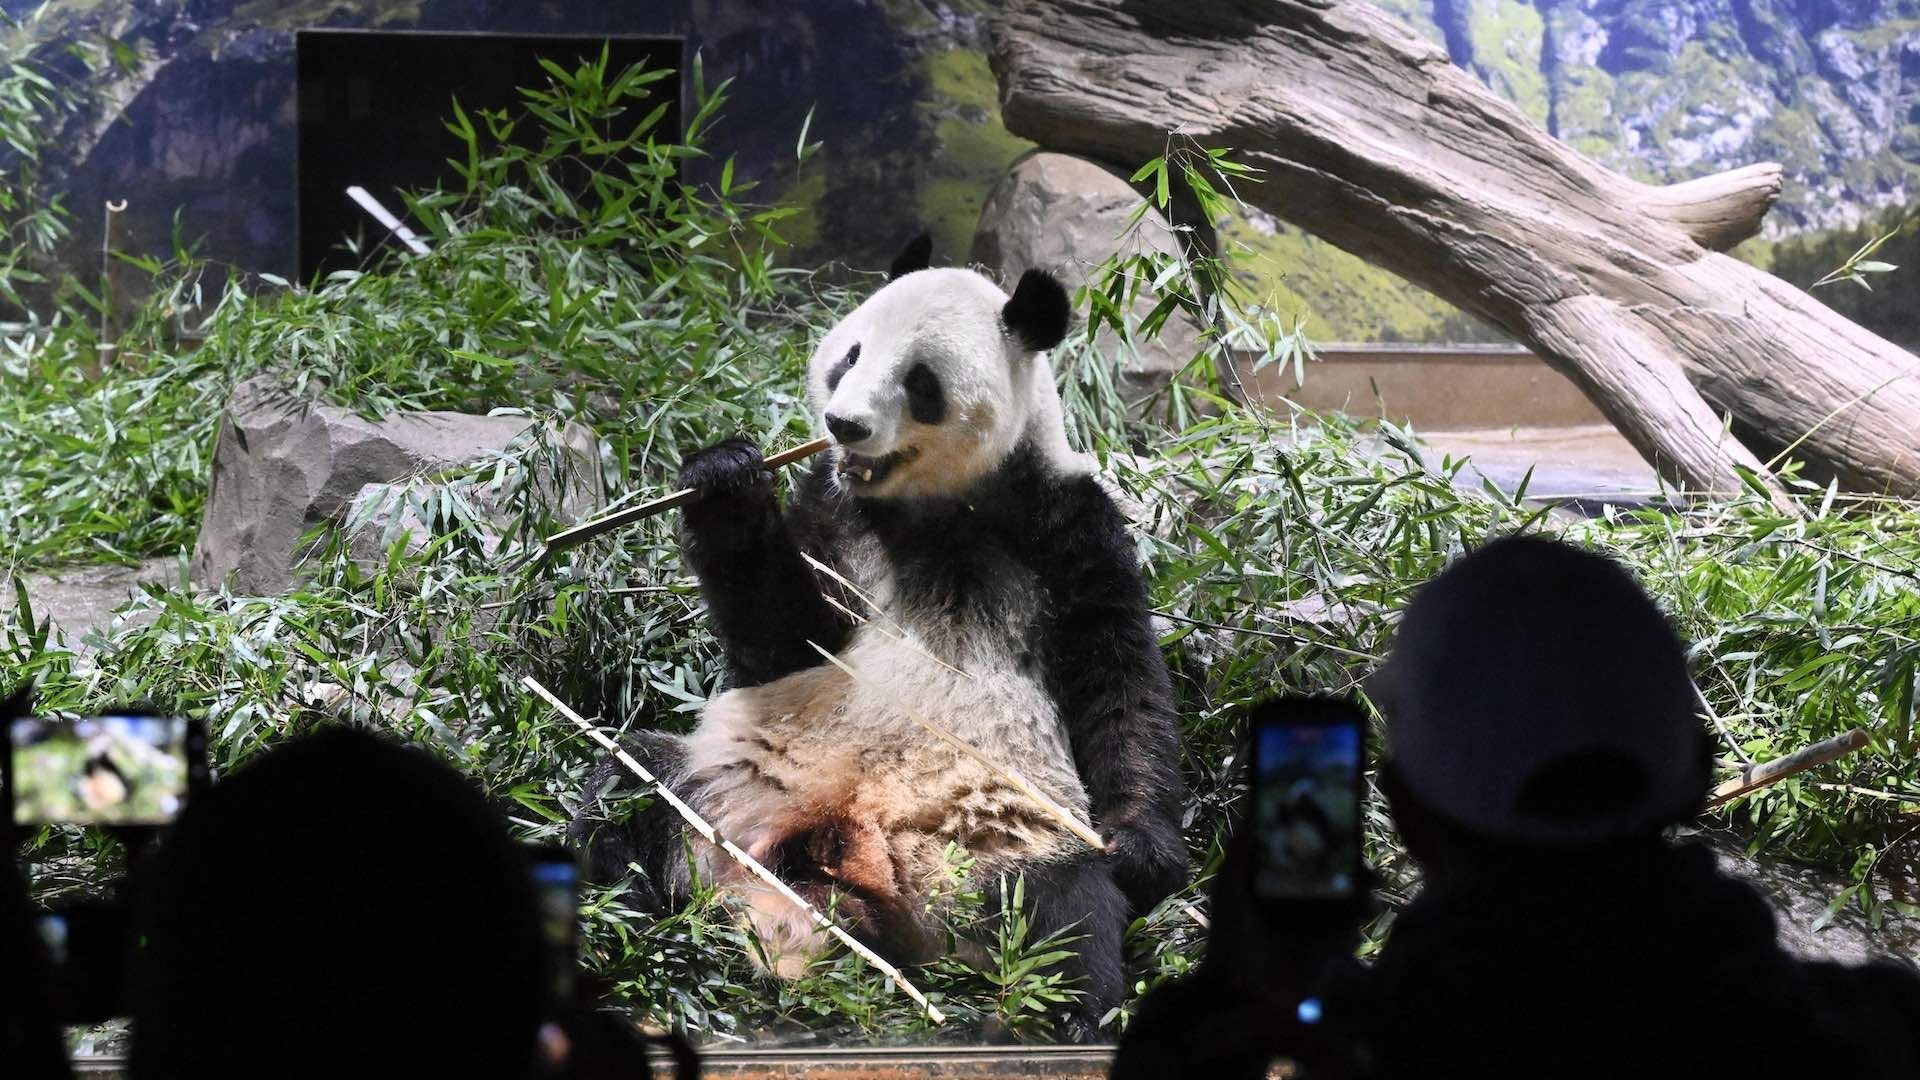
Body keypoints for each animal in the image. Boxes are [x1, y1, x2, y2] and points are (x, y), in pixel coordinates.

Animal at [569, 236, 1189, 1037]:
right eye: (850, 356)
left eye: (920, 381)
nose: (844, 425)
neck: (929, 506)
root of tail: (843, 882)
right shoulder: (833, 513)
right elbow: (783, 642)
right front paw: (726, 479)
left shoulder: (1066, 522)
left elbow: (1117, 675)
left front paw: (1142, 849)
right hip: (725, 791)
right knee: (627, 791)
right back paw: (617, 921)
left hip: (1005, 851)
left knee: (1067, 925)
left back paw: (1066, 1019)